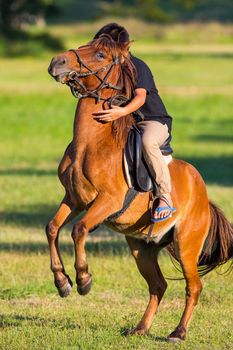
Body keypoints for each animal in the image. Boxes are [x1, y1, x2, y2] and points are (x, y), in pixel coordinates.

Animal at [46, 34, 232, 342]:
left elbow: (79, 230)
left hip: (186, 247)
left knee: (193, 287)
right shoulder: (73, 199)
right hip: (142, 250)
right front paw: (62, 282)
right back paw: (140, 328)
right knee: (158, 285)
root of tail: (204, 197)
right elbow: (52, 228)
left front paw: (83, 279)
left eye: (100, 54)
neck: (90, 143)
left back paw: (178, 332)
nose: (56, 62)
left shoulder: (106, 201)